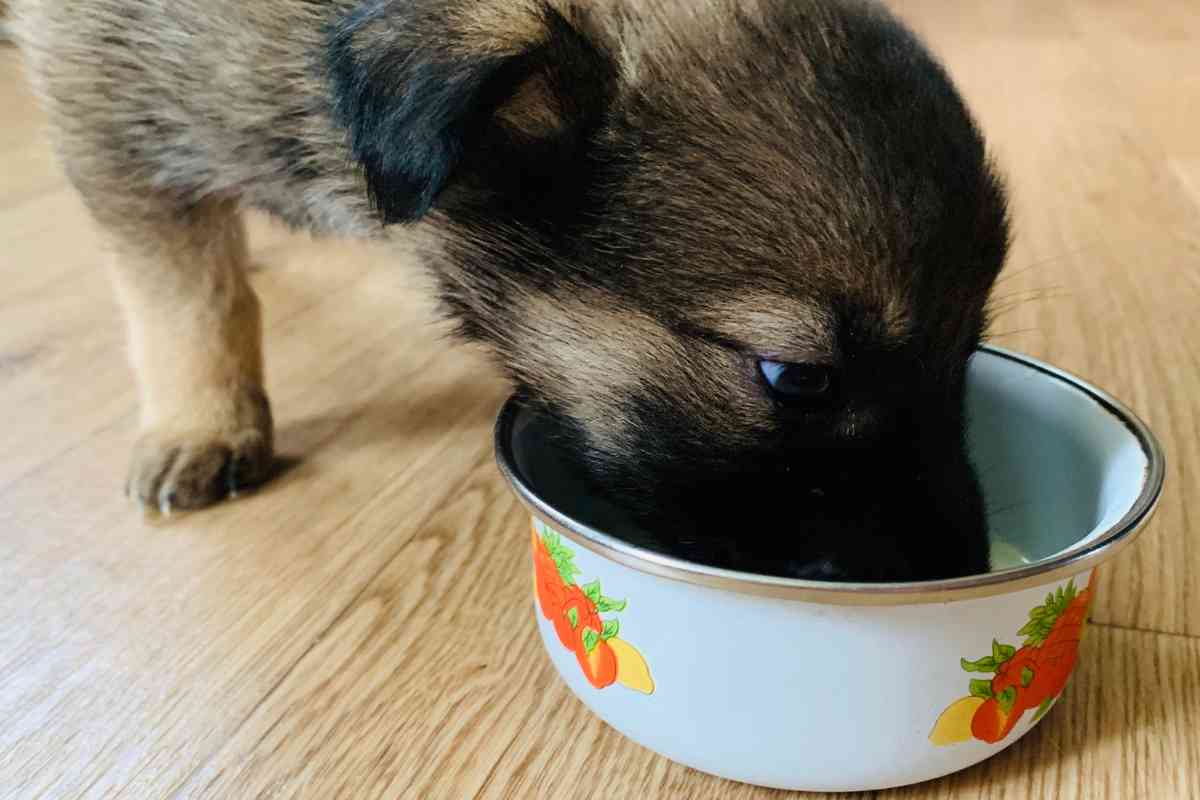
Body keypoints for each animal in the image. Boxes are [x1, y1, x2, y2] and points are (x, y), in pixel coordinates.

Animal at [11, 0, 1003, 578]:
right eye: (795, 377)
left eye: (968, 348)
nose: (958, 565)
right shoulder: (107, 111)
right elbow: (184, 299)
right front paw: (204, 423)